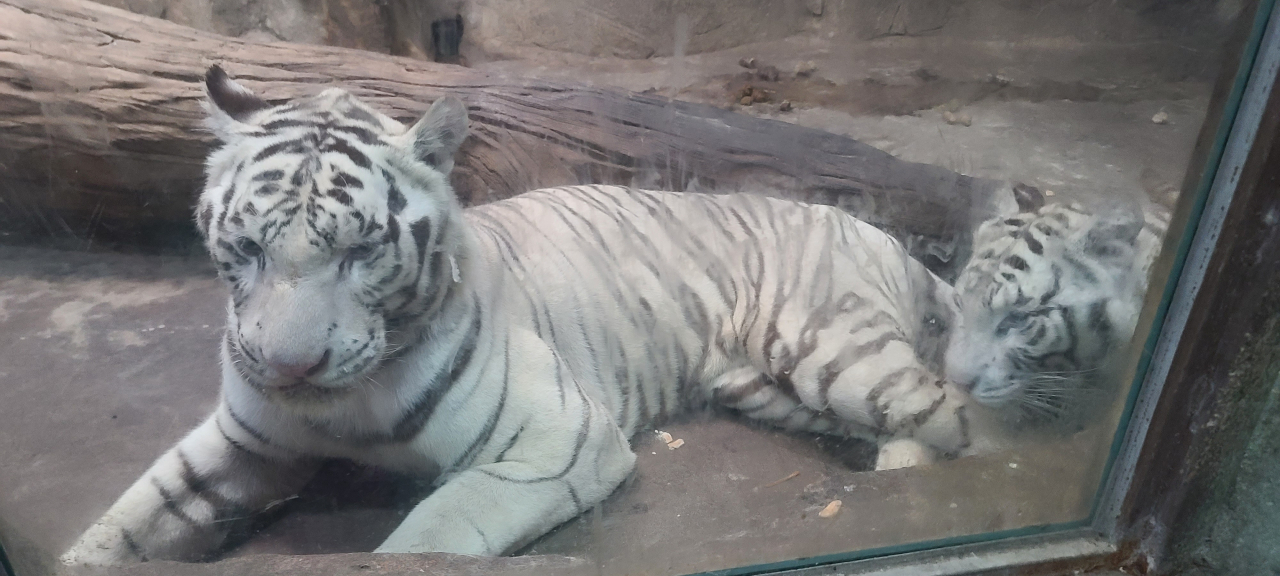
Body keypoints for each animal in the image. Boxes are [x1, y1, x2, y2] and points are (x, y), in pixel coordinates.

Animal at [60, 66, 1003, 563]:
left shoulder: (553, 441)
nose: (291, 368)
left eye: (358, 253)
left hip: (828, 346)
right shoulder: (243, 440)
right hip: (774, 387)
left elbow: (428, 535)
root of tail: (872, 227)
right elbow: (128, 518)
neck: (340, 405)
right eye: (250, 249)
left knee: (960, 414)